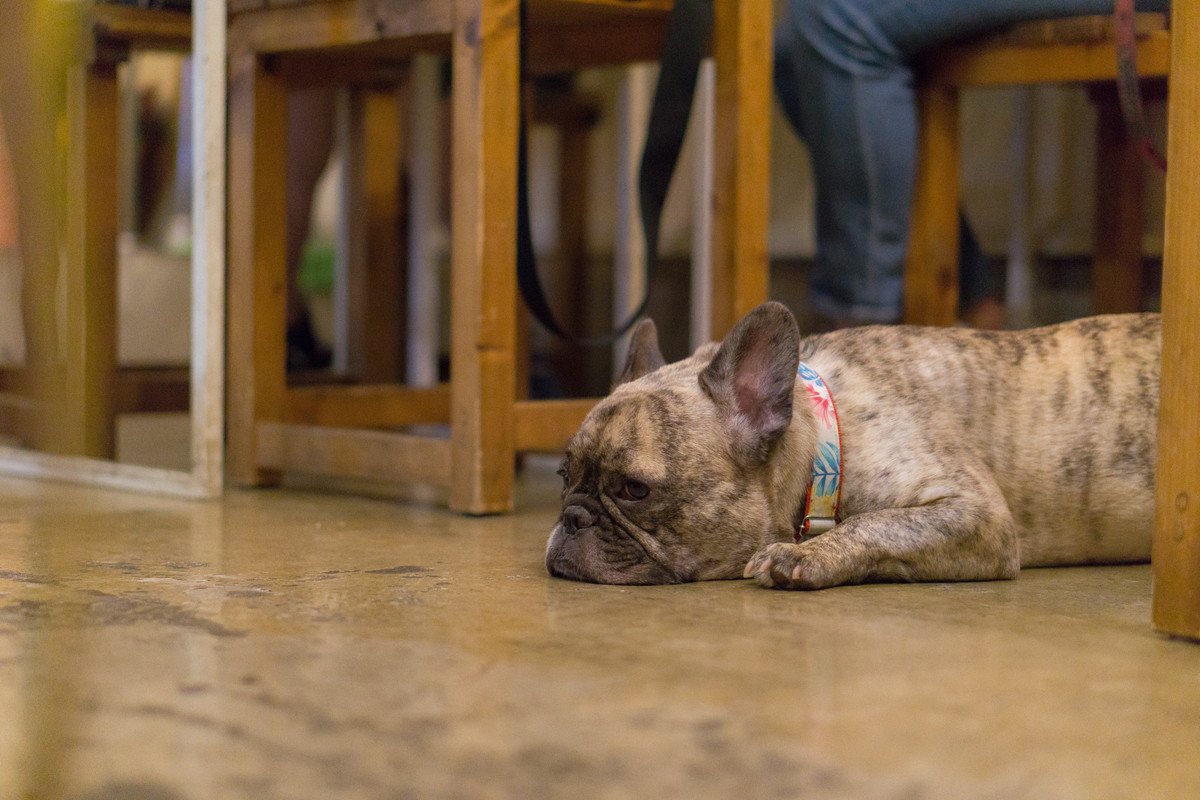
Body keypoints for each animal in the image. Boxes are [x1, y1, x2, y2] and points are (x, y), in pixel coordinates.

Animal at [547, 299, 1161, 587]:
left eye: (634, 490)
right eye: (562, 477)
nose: (571, 518)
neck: (825, 439)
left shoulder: (975, 514)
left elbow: (878, 523)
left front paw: (802, 557)